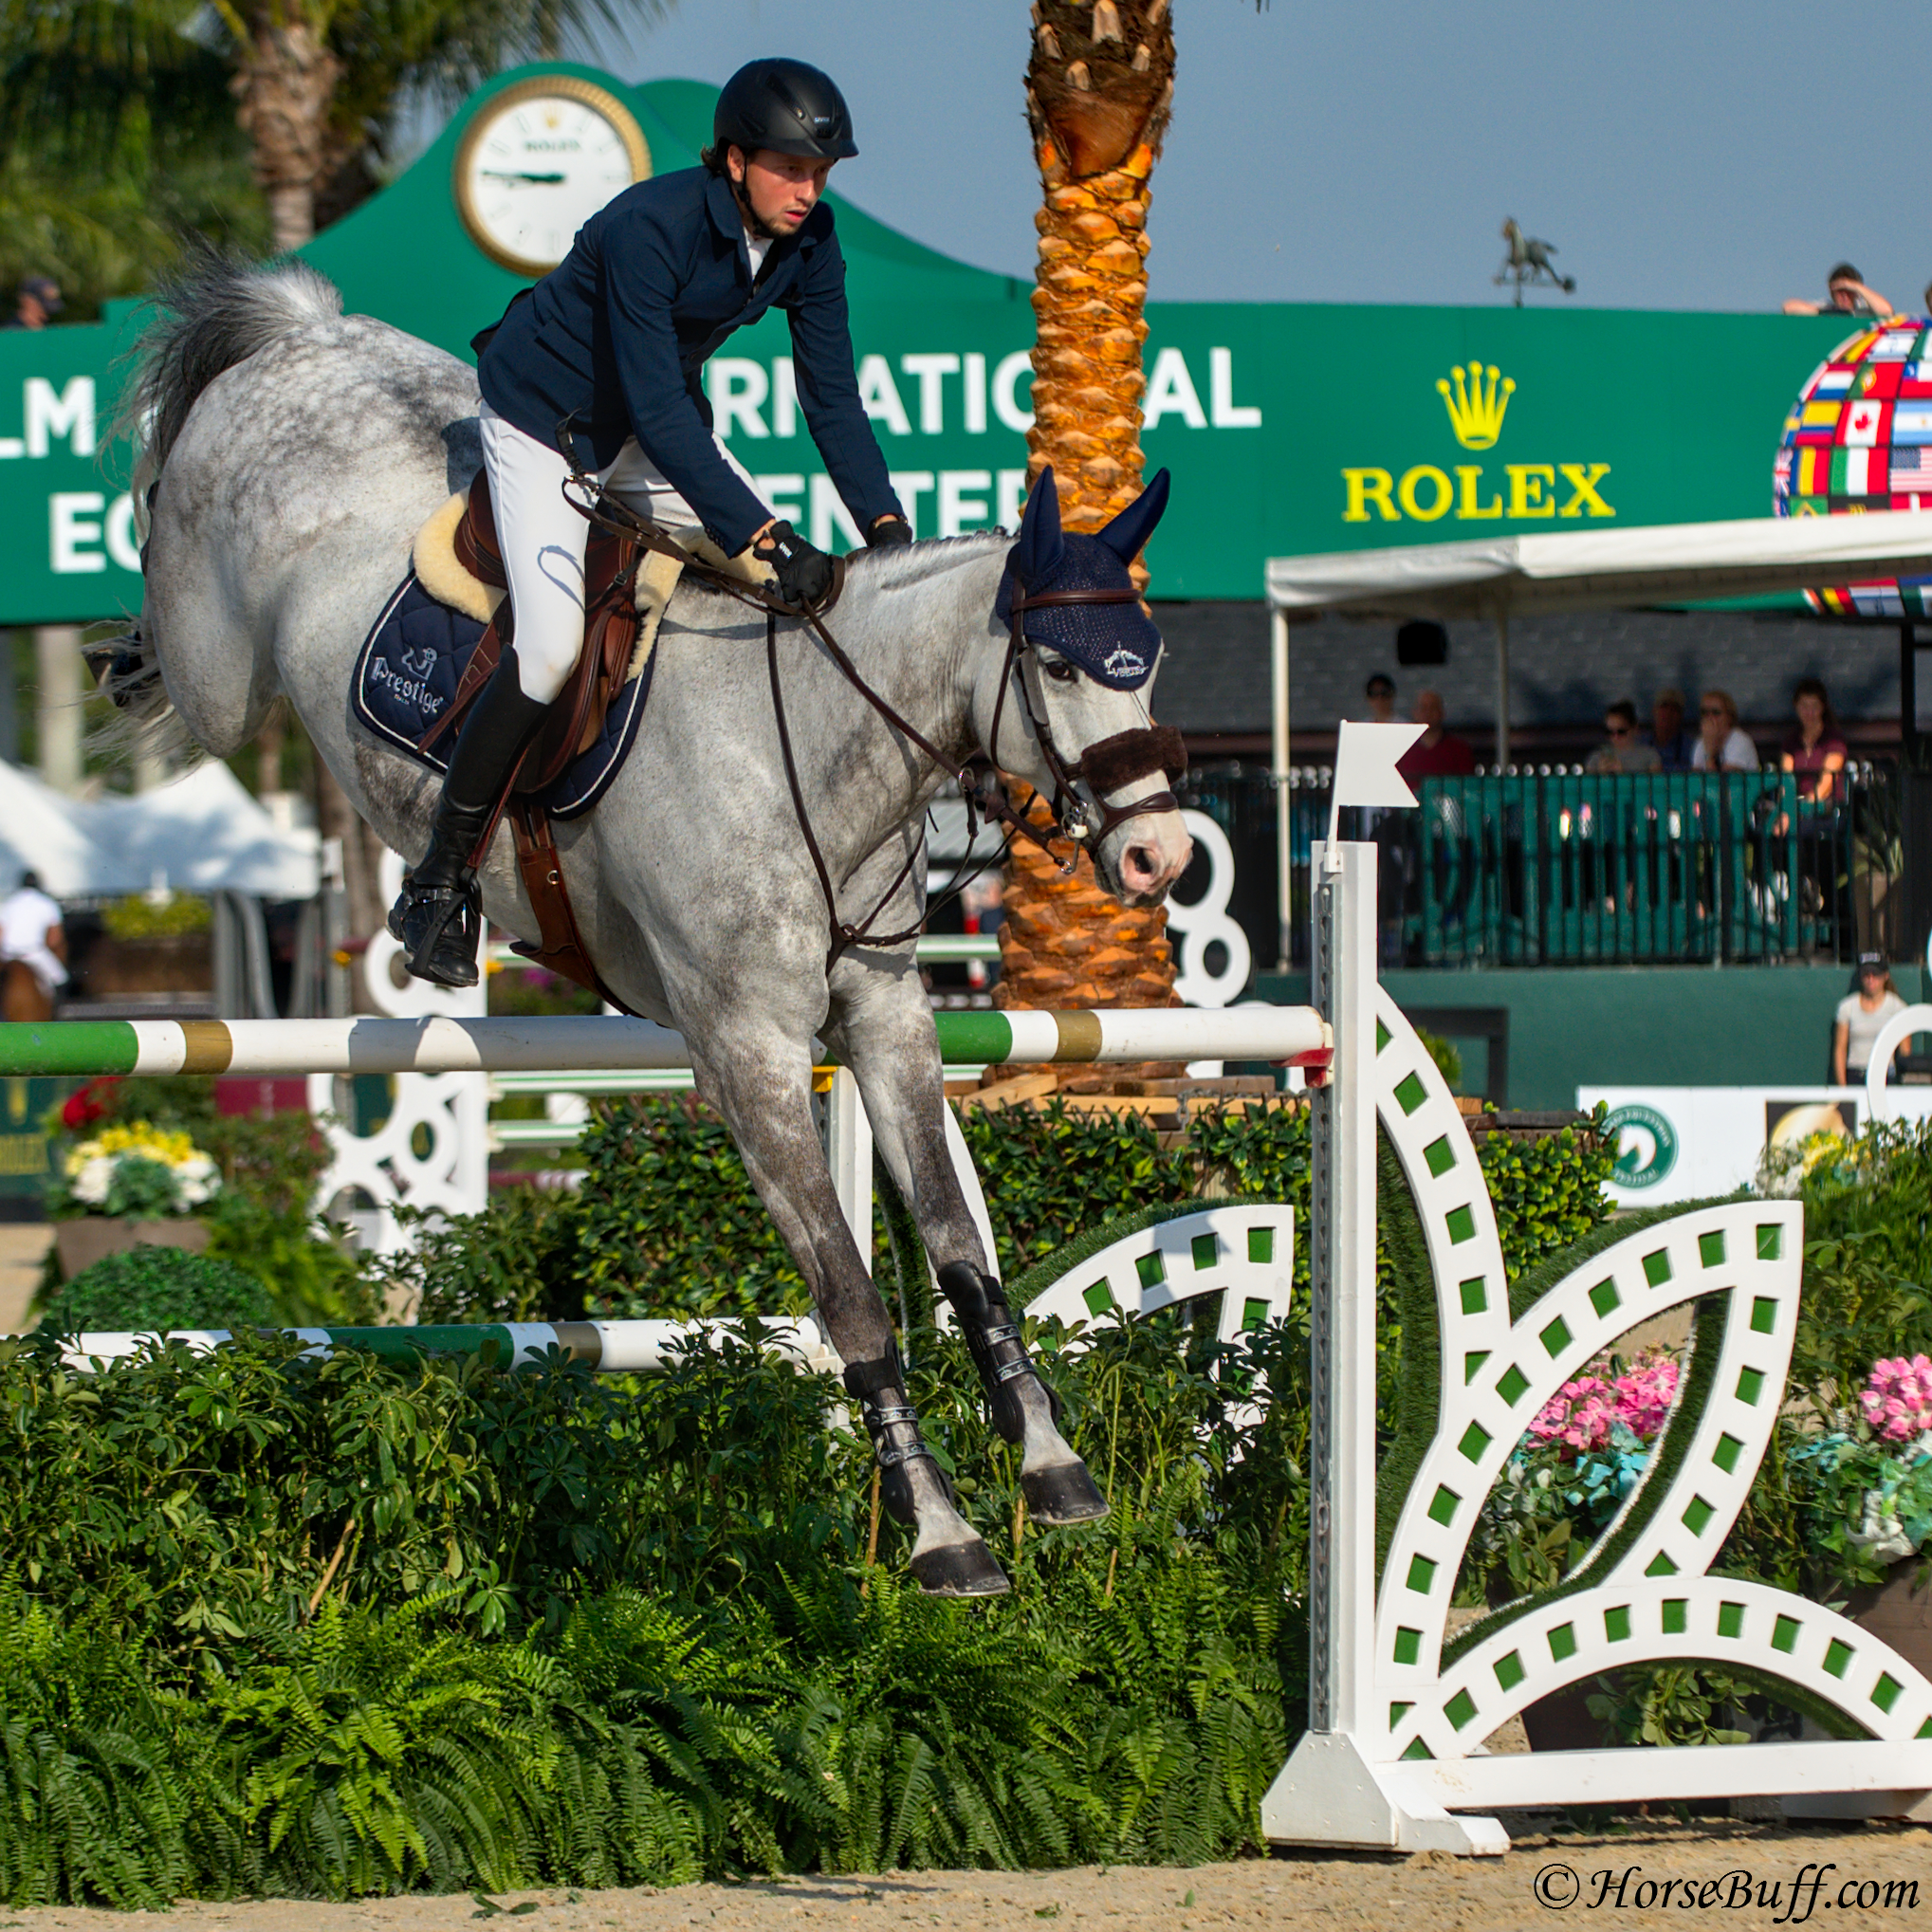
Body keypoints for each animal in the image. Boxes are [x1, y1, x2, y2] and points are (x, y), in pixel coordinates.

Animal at [120, 256, 1189, 1592]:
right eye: (1058, 665)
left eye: (1147, 659)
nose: (1161, 855)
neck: (816, 745)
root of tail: (304, 337)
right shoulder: (747, 1055)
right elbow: (853, 1298)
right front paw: (940, 1532)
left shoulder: (888, 1016)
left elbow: (960, 1251)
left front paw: (1050, 1467)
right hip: (219, 664)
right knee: (177, 633)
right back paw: (130, 665)